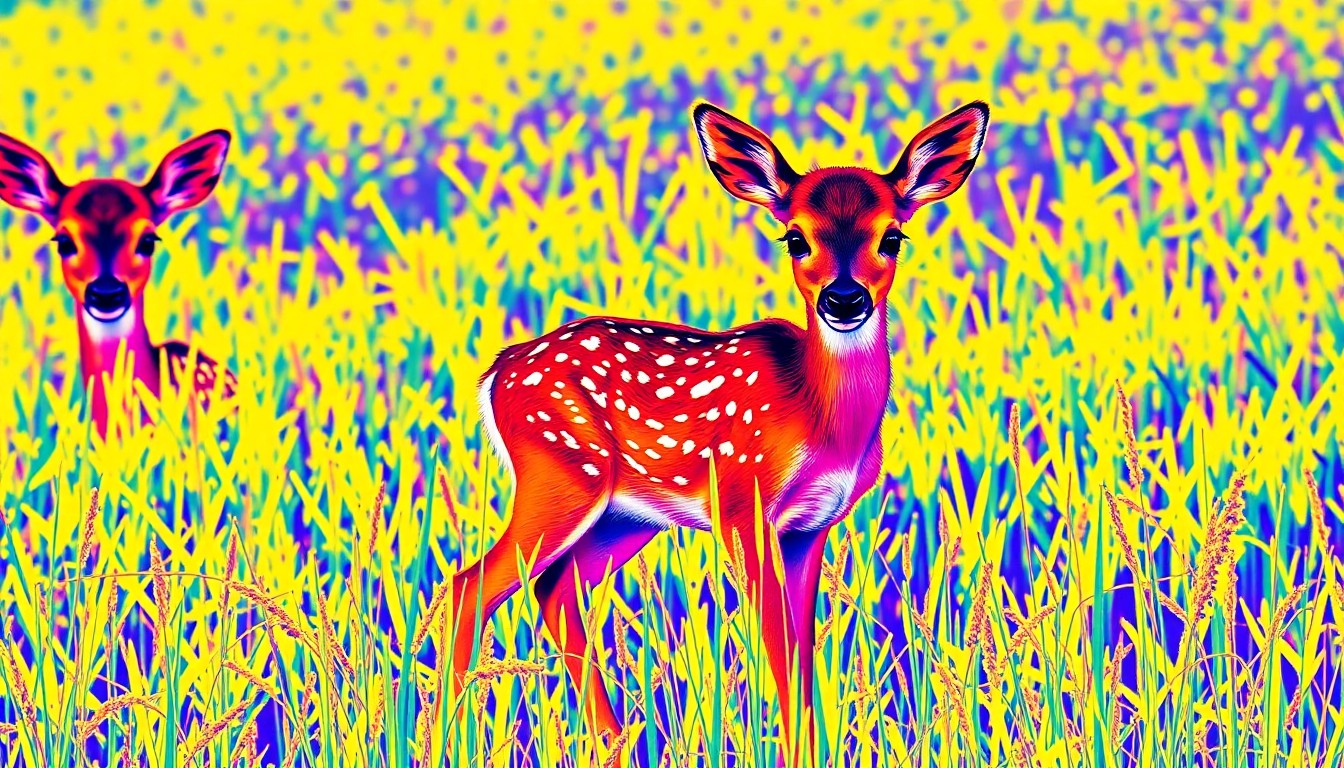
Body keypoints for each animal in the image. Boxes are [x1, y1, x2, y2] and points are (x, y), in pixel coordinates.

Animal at [452, 100, 989, 759]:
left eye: (892, 236)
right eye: (795, 238)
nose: (844, 299)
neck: (817, 415)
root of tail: (496, 372)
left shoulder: (811, 527)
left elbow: (803, 658)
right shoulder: (742, 504)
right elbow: (779, 650)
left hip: (628, 514)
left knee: (554, 591)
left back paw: (614, 742)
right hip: (563, 473)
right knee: (471, 586)